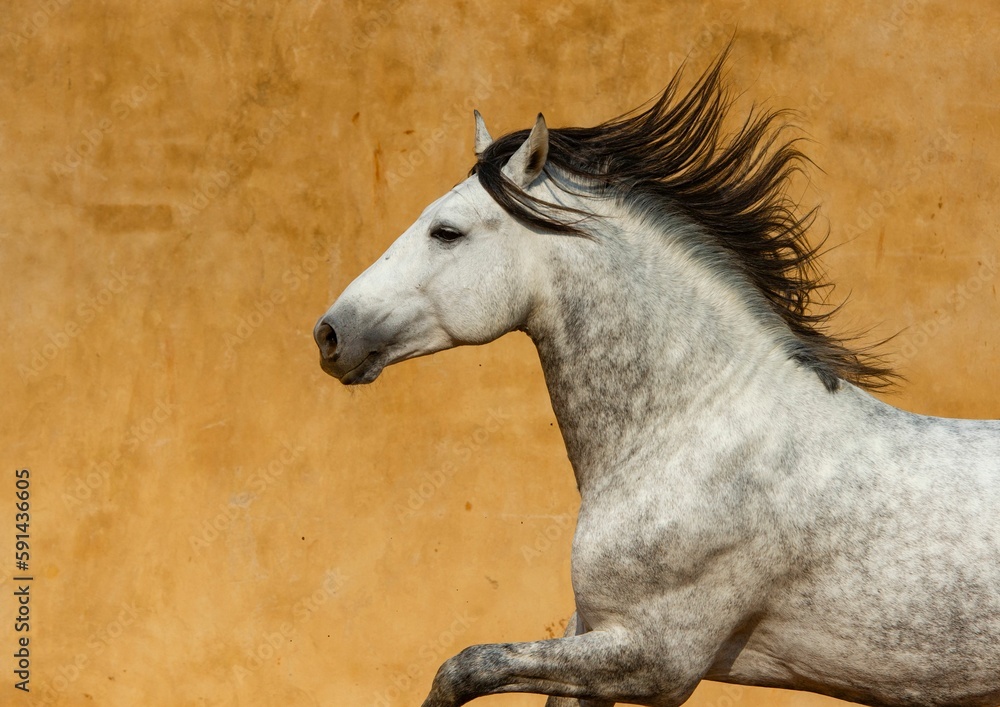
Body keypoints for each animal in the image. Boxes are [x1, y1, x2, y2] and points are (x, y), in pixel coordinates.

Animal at [313, 53, 1000, 707]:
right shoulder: (593, 633)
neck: (691, 432)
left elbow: (465, 667)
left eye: (446, 232)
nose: (329, 335)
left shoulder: (656, 659)